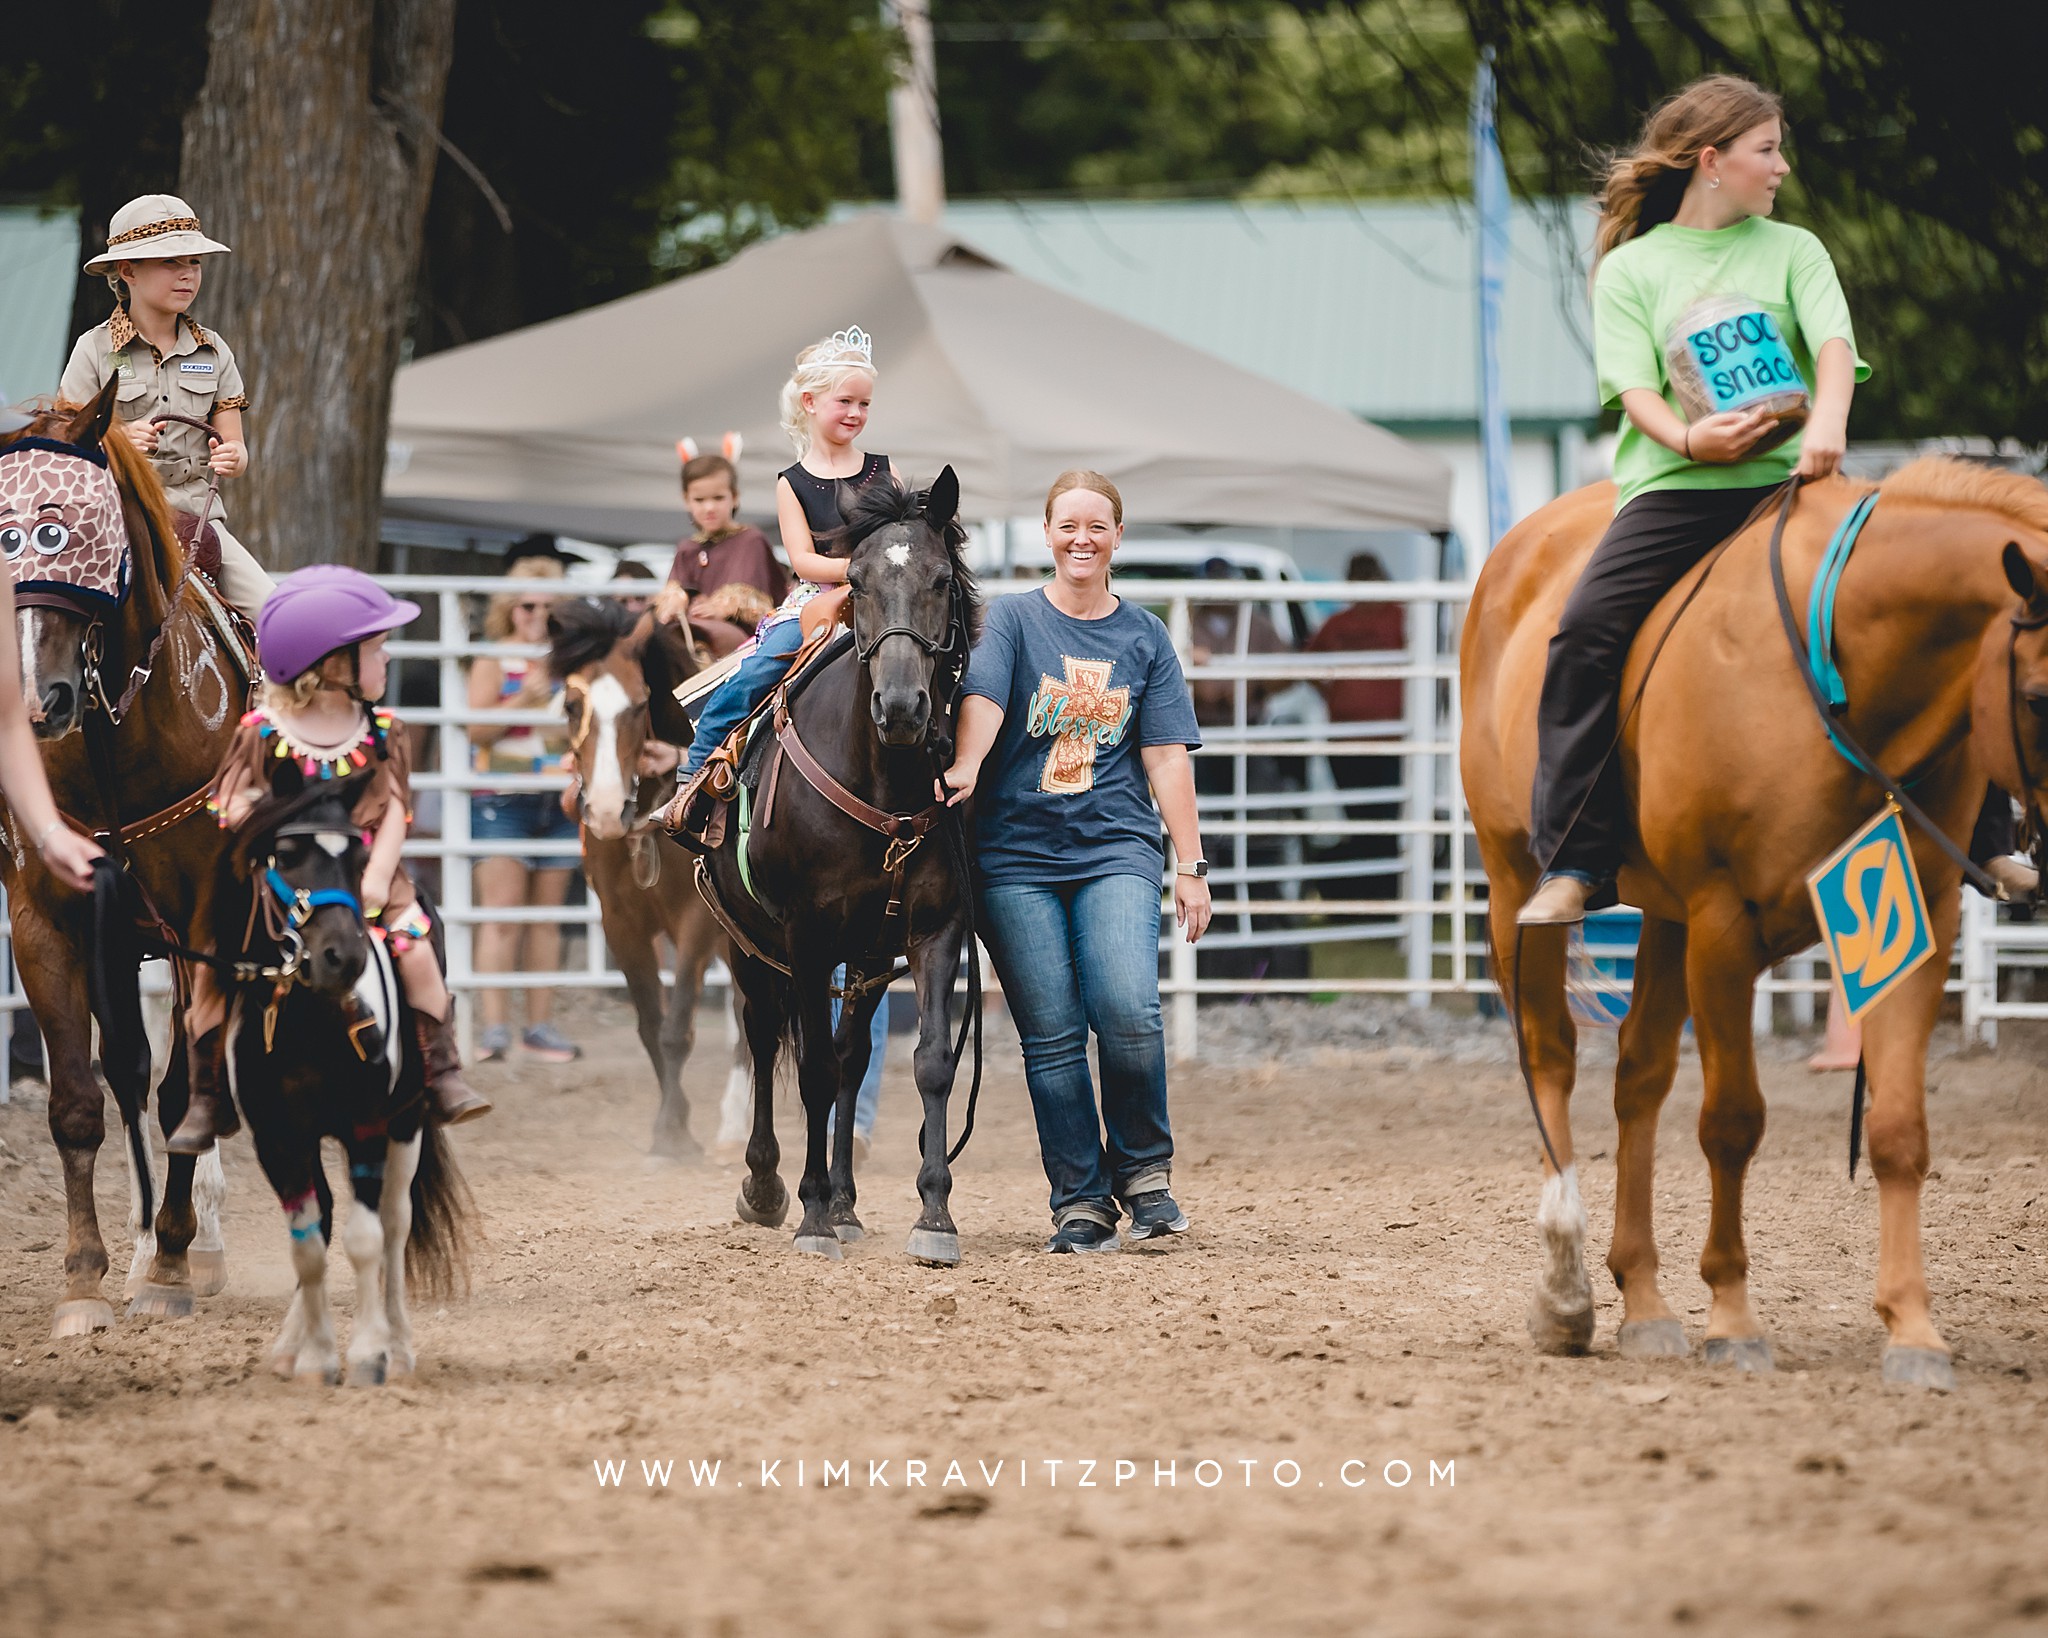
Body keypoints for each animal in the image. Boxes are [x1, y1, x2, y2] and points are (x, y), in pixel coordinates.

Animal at [2, 391, 250, 1334]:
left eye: (73, 528)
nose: (36, 700)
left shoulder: (204, 918)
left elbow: (186, 1090)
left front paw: (173, 1263)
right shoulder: (44, 918)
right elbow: (78, 1099)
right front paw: (83, 1281)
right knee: (129, 1073)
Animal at [219, 773, 471, 1392]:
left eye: (359, 859)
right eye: (286, 855)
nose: (343, 957)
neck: (311, 1025)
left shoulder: (368, 1126)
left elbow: (367, 1240)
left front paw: (367, 1354)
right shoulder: (278, 1138)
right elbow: (308, 1245)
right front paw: (315, 1357)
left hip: (407, 1125)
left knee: (395, 1225)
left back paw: (398, 1349)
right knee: (327, 1216)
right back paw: (292, 1347)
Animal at [548, 593, 749, 1154]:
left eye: (639, 704)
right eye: (572, 706)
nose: (606, 810)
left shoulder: (698, 921)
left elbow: (677, 1028)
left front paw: (670, 1139)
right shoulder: (619, 921)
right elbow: (649, 1024)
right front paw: (675, 1123)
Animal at [651, 466, 978, 1261]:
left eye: (940, 579)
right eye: (855, 581)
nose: (901, 707)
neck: (884, 778)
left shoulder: (935, 930)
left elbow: (928, 1062)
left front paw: (933, 1217)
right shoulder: (804, 936)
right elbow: (815, 1072)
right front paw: (811, 1216)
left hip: (864, 955)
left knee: (851, 1052)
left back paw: (849, 1201)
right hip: (748, 944)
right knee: (768, 1037)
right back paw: (769, 1187)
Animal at [1466, 464, 2048, 1392]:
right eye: (2036, 697)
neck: (1842, 670)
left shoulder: (1918, 919)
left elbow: (1898, 1129)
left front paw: (1913, 1330)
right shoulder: (1722, 923)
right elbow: (1732, 1121)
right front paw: (1734, 1318)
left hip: (1664, 916)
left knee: (1638, 1075)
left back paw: (1645, 1300)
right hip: (1518, 878)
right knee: (1549, 1054)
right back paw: (1566, 1291)